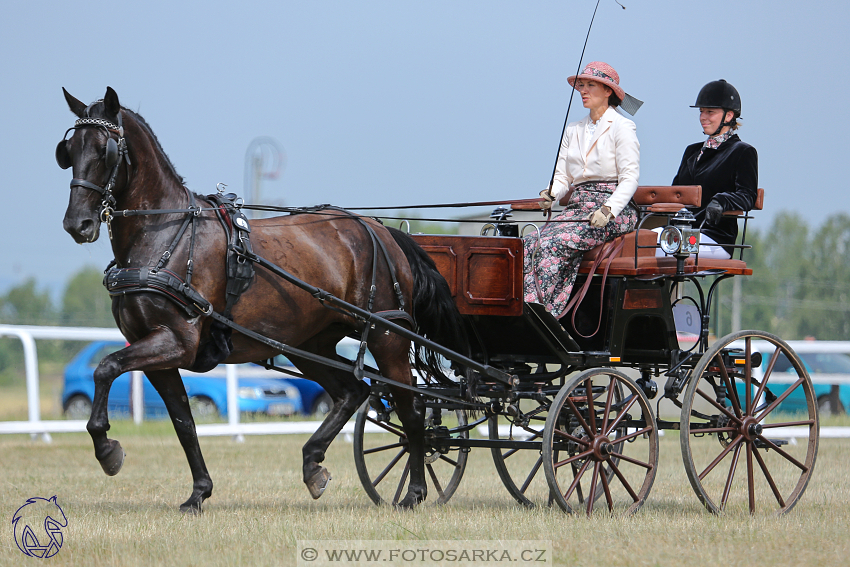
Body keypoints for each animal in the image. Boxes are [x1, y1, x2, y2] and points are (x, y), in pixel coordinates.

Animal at [57, 87, 464, 516]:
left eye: (105, 150)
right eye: (69, 150)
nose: (77, 224)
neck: (165, 233)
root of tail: (382, 231)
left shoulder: (176, 342)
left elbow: (105, 368)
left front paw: (107, 450)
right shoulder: (155, 351)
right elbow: (183, 422)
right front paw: (199, 492)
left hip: (389, 338)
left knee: (411, 410)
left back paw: (414, 492)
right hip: (309, 344)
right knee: (353, 392)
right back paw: (313, 465)